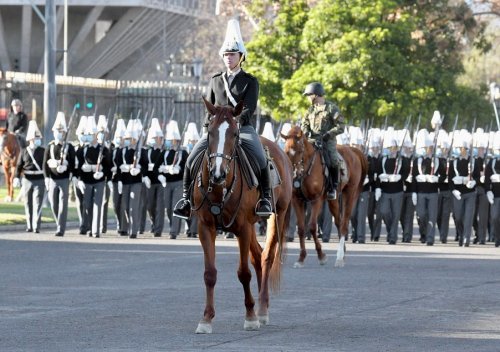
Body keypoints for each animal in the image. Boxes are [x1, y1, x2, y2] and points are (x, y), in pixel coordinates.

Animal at [190, 97, 292, 334]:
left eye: (234, 133)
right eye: (210, 131)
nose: (218, 173)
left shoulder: (242, 228)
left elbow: (243, 273)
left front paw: (251, 316)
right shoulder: (205, 228)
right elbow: (210, 274)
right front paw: (206, 318)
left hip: (277, 216)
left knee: (266, 257)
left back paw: (262, 309)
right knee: (257, 256)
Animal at [282, 126, 368, 266]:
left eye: (300, 150)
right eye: (285, 151)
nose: (293, 175)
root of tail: (352, 150)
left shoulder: (317, 200)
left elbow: (312, 226)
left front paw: (321, 255)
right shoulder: (297, 200)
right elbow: (301, 228)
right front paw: (301, 258)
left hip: (349, 194)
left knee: (344, 223)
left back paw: (339, 257)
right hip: (333, 201)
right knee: (338, 222)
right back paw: (343, 252)